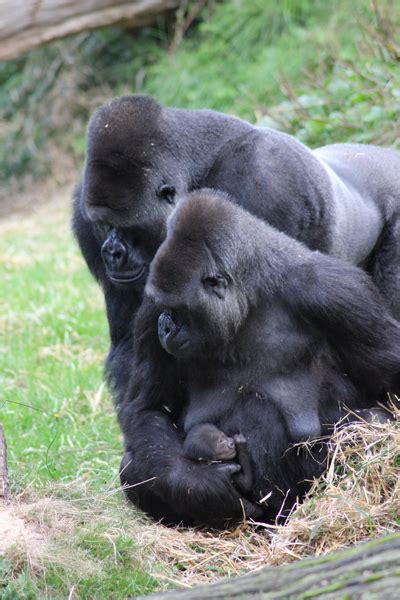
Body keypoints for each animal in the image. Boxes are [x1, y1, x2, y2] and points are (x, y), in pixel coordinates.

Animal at [72, 96, 400, 408]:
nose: (112, 252)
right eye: (103, 224)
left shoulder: (265, 181)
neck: (196, 166)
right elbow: (132, 346)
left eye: (126, 226)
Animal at [118, 190, 400, 528]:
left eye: (178, 310)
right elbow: (149, 409)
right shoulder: (149, 308)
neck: (251, 294)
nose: (165, 326)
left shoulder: (339, 293)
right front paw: (197, 485)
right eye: (163, 308)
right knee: (133, 467)